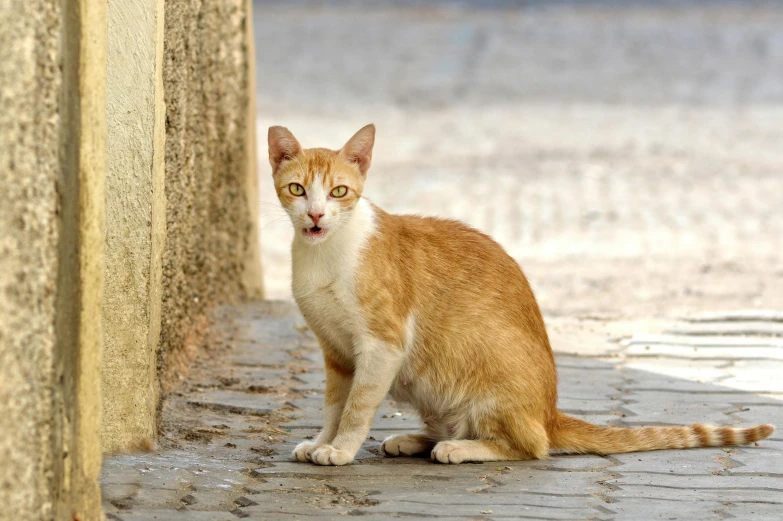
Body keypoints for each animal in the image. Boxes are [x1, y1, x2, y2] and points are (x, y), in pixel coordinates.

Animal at [266, 124, 776, 466]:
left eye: (338, 191)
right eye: (297, 189)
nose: (315, 216)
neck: (324, 255)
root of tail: (550, 412)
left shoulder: (381, 346)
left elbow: (357, 407)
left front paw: (341, 449)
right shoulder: (336, 351)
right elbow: (334, 404)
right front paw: (322, 441)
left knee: (531, 445)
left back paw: (459, 447)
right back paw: (417, 439)